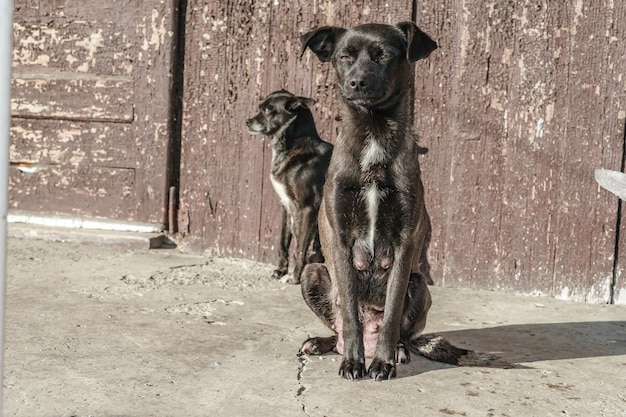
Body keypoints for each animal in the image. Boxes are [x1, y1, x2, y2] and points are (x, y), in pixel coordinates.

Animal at [245, 90, 332, 284]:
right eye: (260, 107)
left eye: (268, 110)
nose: (247, 121)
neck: (292, 147)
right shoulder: (285, 205)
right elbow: (283, 241)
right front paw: (281, 270)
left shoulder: (308, 208)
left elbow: (300, 247)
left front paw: (295, 276)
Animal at [298, 23, 498, 380]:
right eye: (345, 56)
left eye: (384, 56)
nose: (357, 83)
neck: (374, 132)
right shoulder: (339, 239)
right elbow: (349, 312)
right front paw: (353, 362)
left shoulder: (405, 244)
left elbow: (391, 312)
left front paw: (382, 362)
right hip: (312, 272)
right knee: (340, 326)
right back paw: (325, 344)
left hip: (420, 286)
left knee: (402, 330)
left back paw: (399, 350)